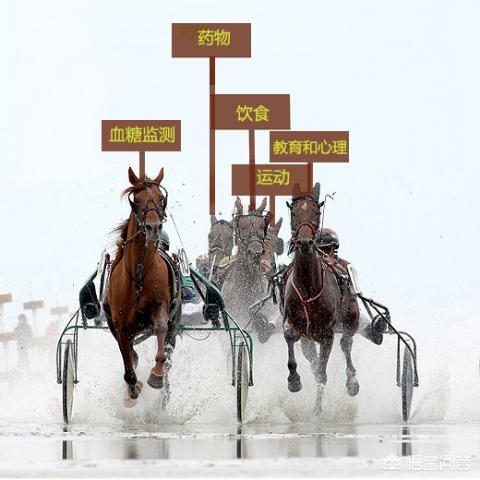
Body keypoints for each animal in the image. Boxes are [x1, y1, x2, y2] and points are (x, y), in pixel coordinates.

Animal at [104, 167, 181, 407]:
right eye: (136, 200)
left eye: (161, 198)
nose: (153, 227)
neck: (137, 272)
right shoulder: (120, 325)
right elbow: (128, 363)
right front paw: (132, 389)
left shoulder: (161, 306)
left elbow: (160, 329)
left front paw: (156, 374)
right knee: (130, 352)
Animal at [282, 183, 360, 415]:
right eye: (293, 212)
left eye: (316, 212)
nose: (305, 242)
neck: (309, 286)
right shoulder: (294, 322)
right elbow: (290, 336)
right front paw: (294, 380)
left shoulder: (327, 333)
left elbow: (322, 374)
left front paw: (317, 411)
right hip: (309, 337)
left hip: (351, 316)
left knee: (346, 342)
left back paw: (352, 382)